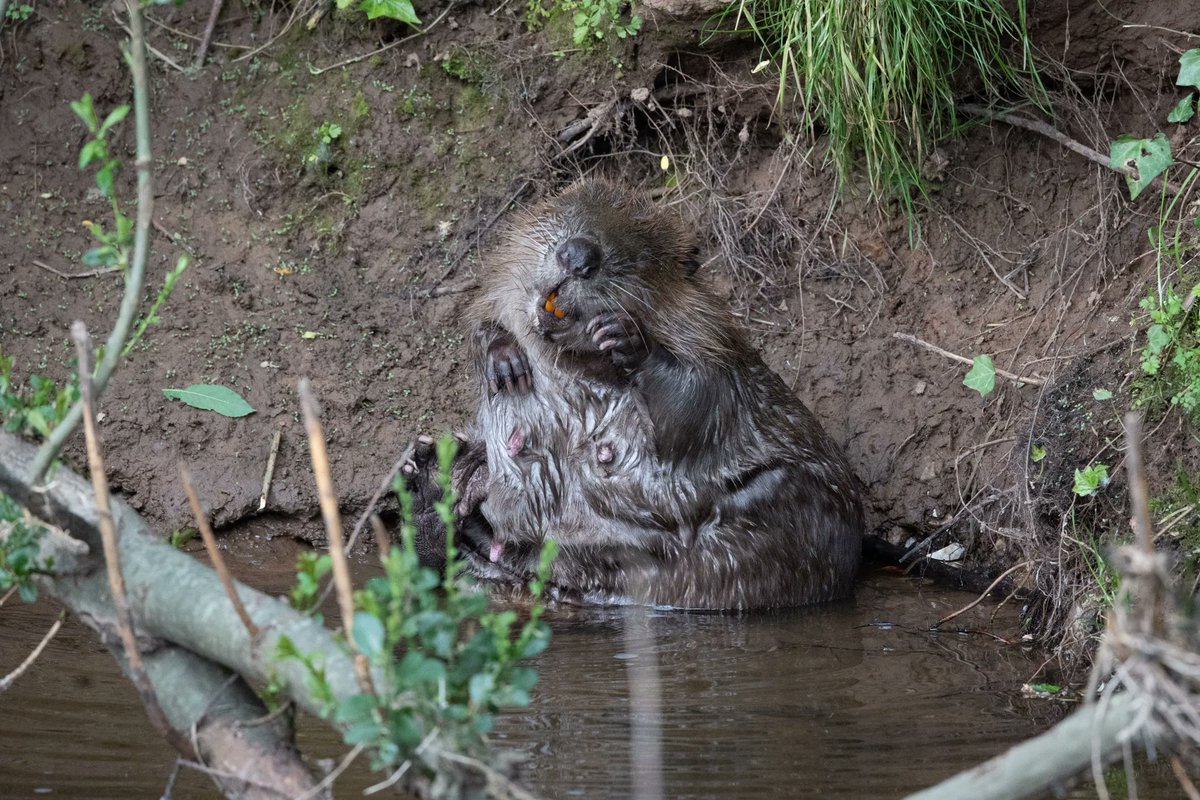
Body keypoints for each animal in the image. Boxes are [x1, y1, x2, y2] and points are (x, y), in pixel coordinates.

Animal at [404, 179, 863, 610]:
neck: (575, 365)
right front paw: (503, 357)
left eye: (636, 256)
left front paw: (626, 338)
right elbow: (486, 314)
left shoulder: (713, 343)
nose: (578, 256)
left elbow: (698, 400)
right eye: (568, 212)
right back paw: (434, 483)